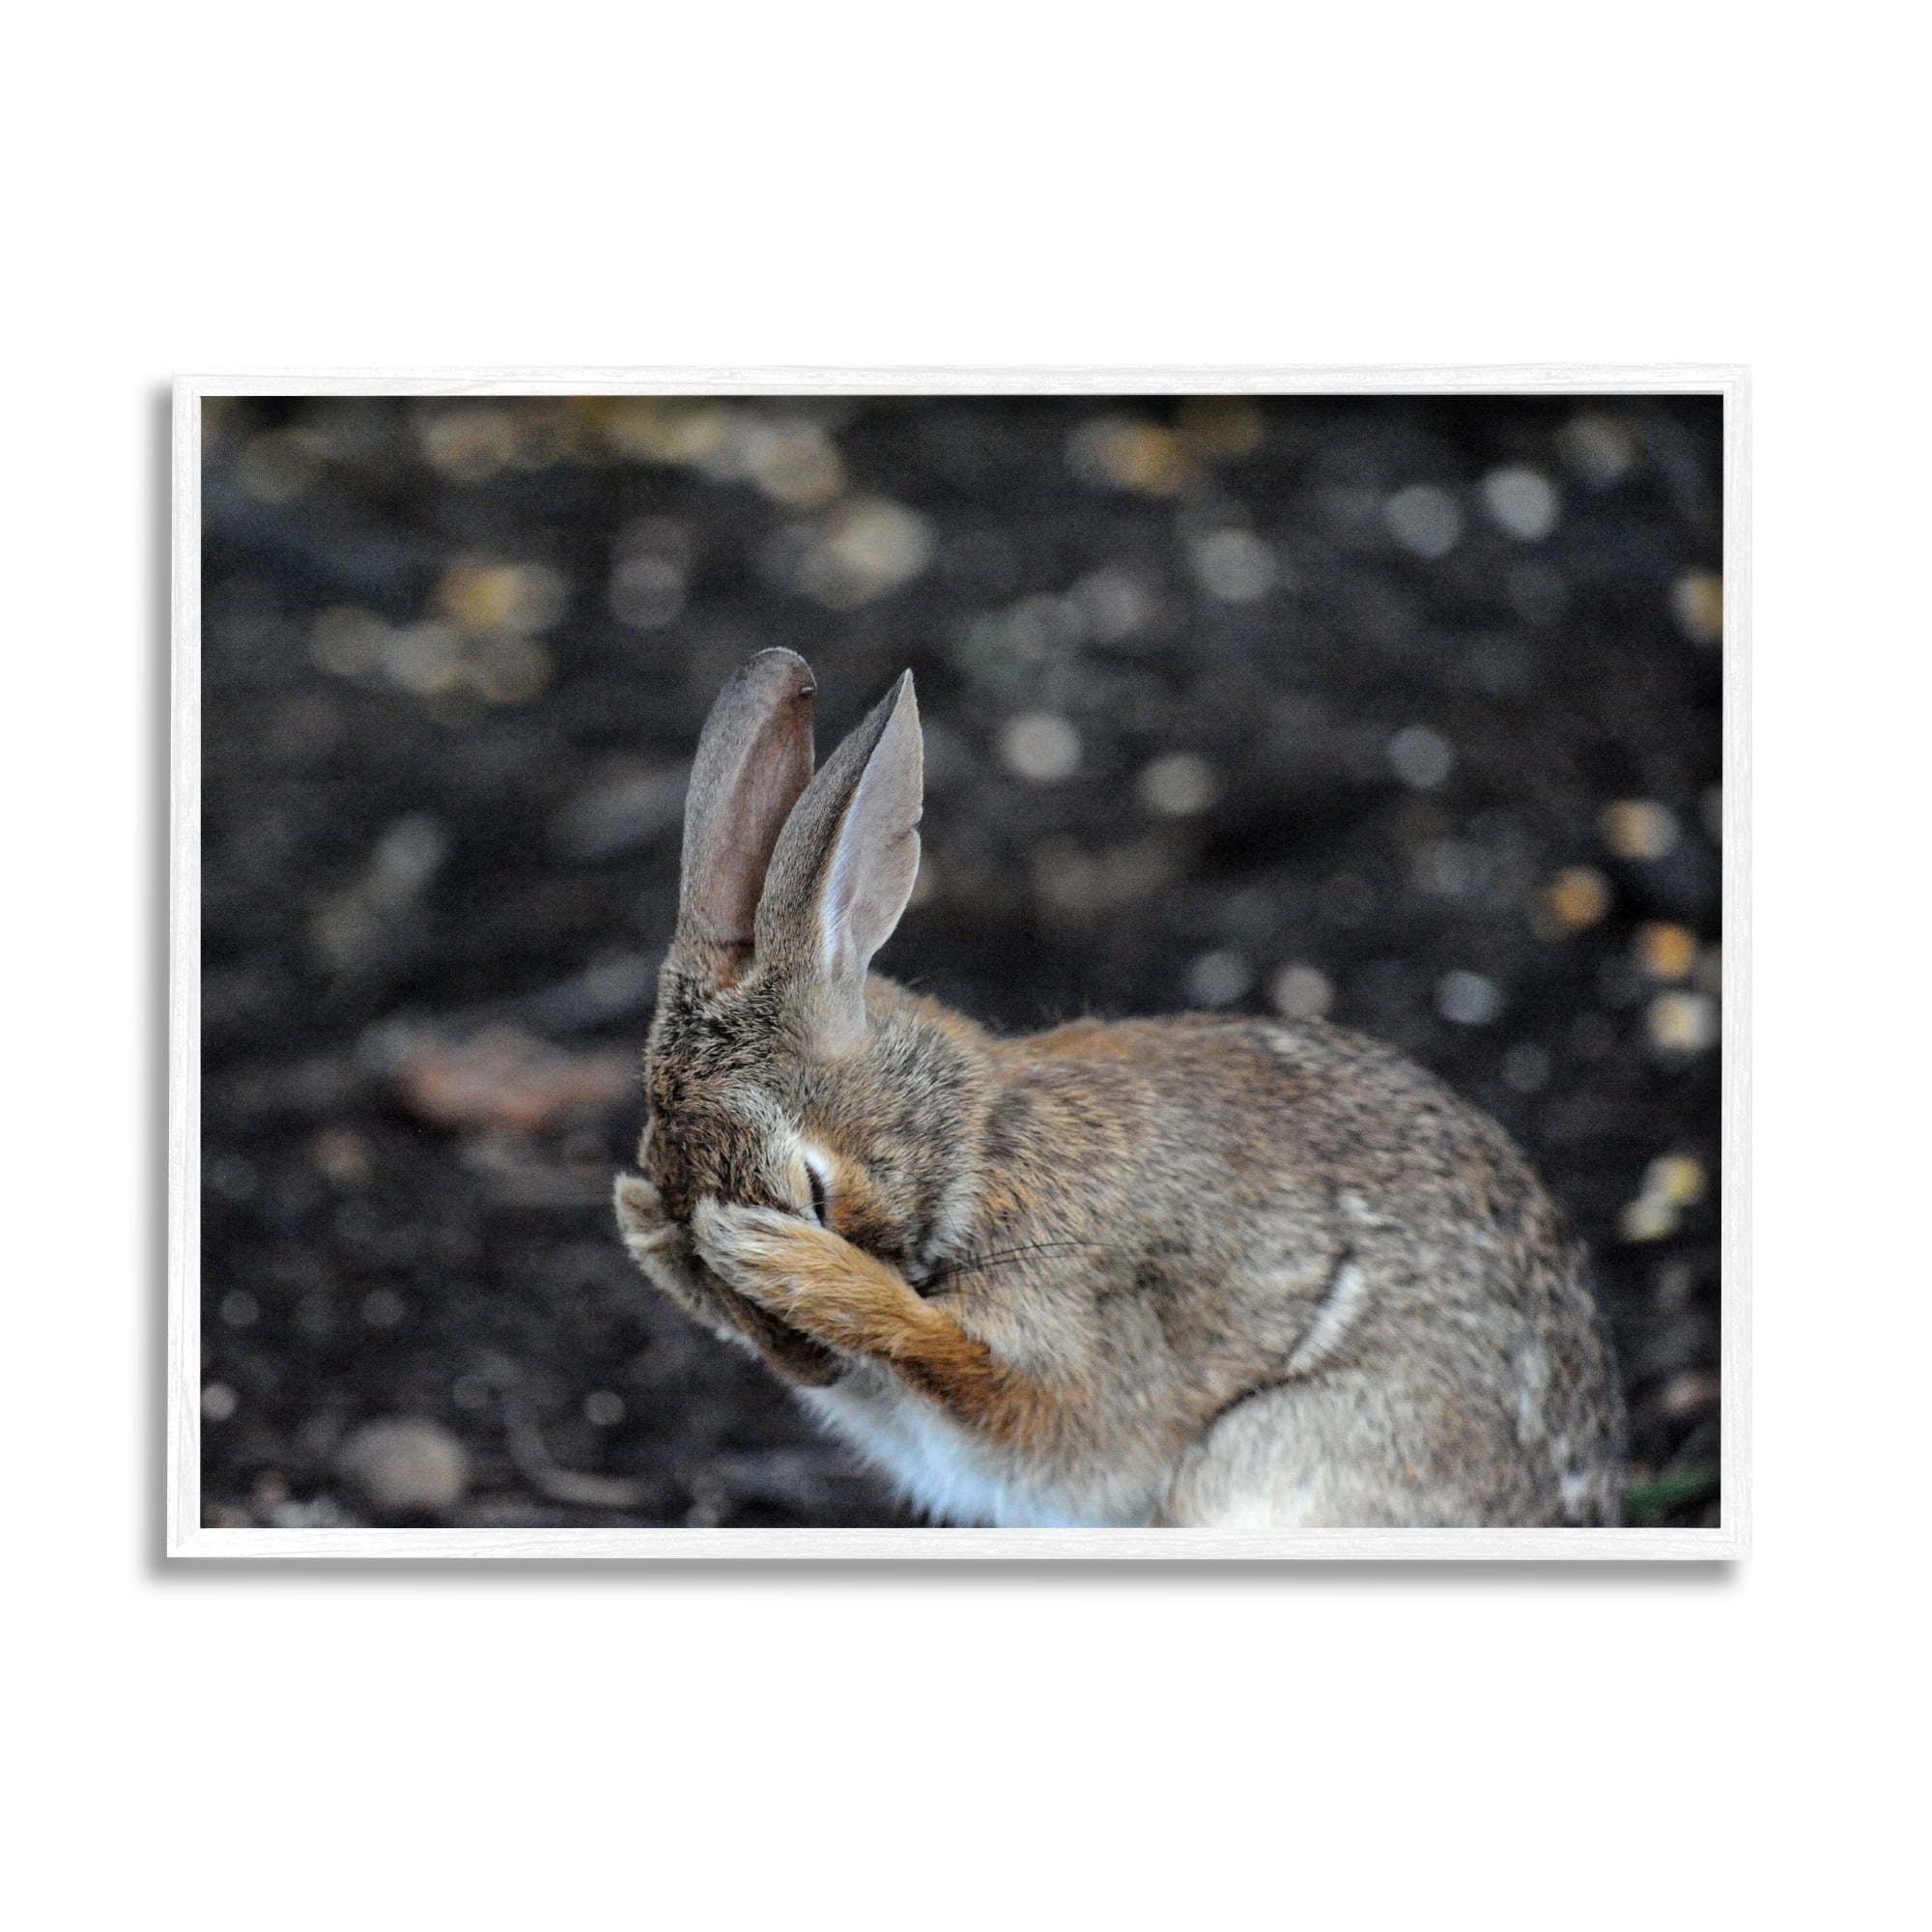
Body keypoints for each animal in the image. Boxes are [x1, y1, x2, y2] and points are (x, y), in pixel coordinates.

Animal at [614, 648, 1627, 1528]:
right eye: (678, 1221)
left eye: (812, 1190)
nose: (809, 1369)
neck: (976, 1146)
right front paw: (644, 1228)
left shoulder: (1078, 1336)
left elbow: (979, 1370)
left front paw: (789, 1264)